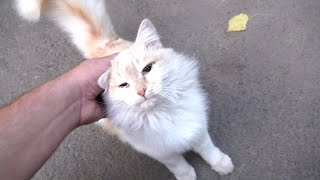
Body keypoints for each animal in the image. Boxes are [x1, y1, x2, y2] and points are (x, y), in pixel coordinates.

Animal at [15, 0, 234, 179]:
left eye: (147, 69)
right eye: (124, 85)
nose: (141, 91)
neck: (162, 115)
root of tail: (104, 46)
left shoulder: (197, 127)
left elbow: (208, 150)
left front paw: (222, 165)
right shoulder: (161, 151)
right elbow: (177, 163)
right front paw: (187, 176)